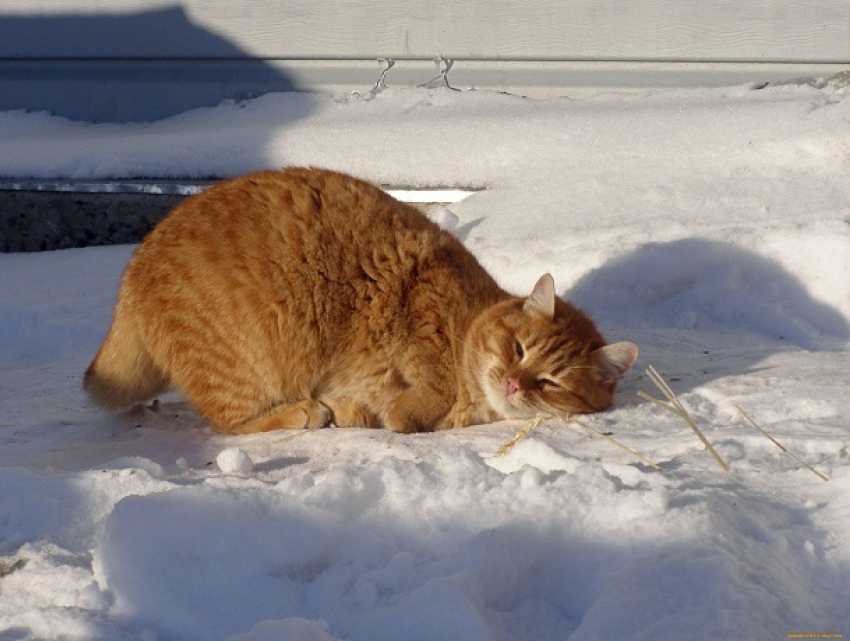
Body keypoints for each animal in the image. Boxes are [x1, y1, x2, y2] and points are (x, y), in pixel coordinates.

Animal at [84, 168, 636, 432]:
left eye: (551, 381)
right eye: (518, 350)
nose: (516, 385)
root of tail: (133, 270)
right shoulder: (421, 307)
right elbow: (429, 382)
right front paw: (410, 411)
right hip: (245, 365)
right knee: (230, 423)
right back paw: (300, 413)